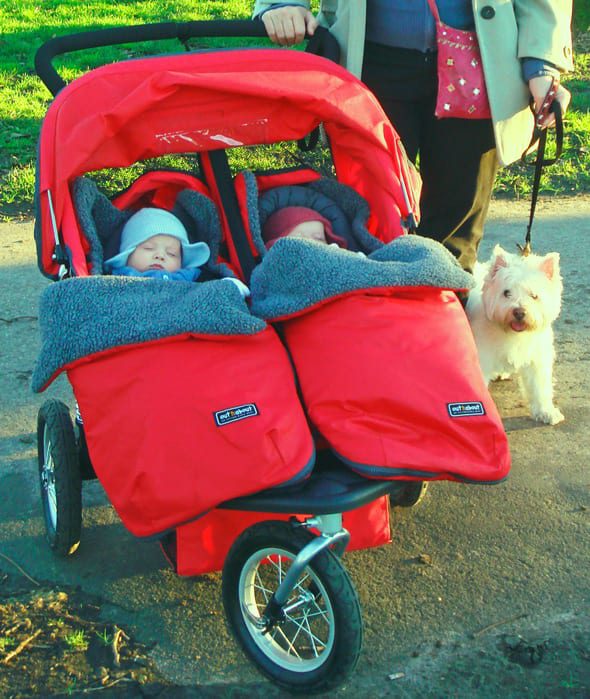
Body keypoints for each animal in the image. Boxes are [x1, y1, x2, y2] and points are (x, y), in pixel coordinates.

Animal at [468, 246, 564, 424]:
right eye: (506, 292)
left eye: (534, 295)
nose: (519, 312)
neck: (512, 333)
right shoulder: (482, 356)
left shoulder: (537, 358)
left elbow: (540, 385)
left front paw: (546, 412)